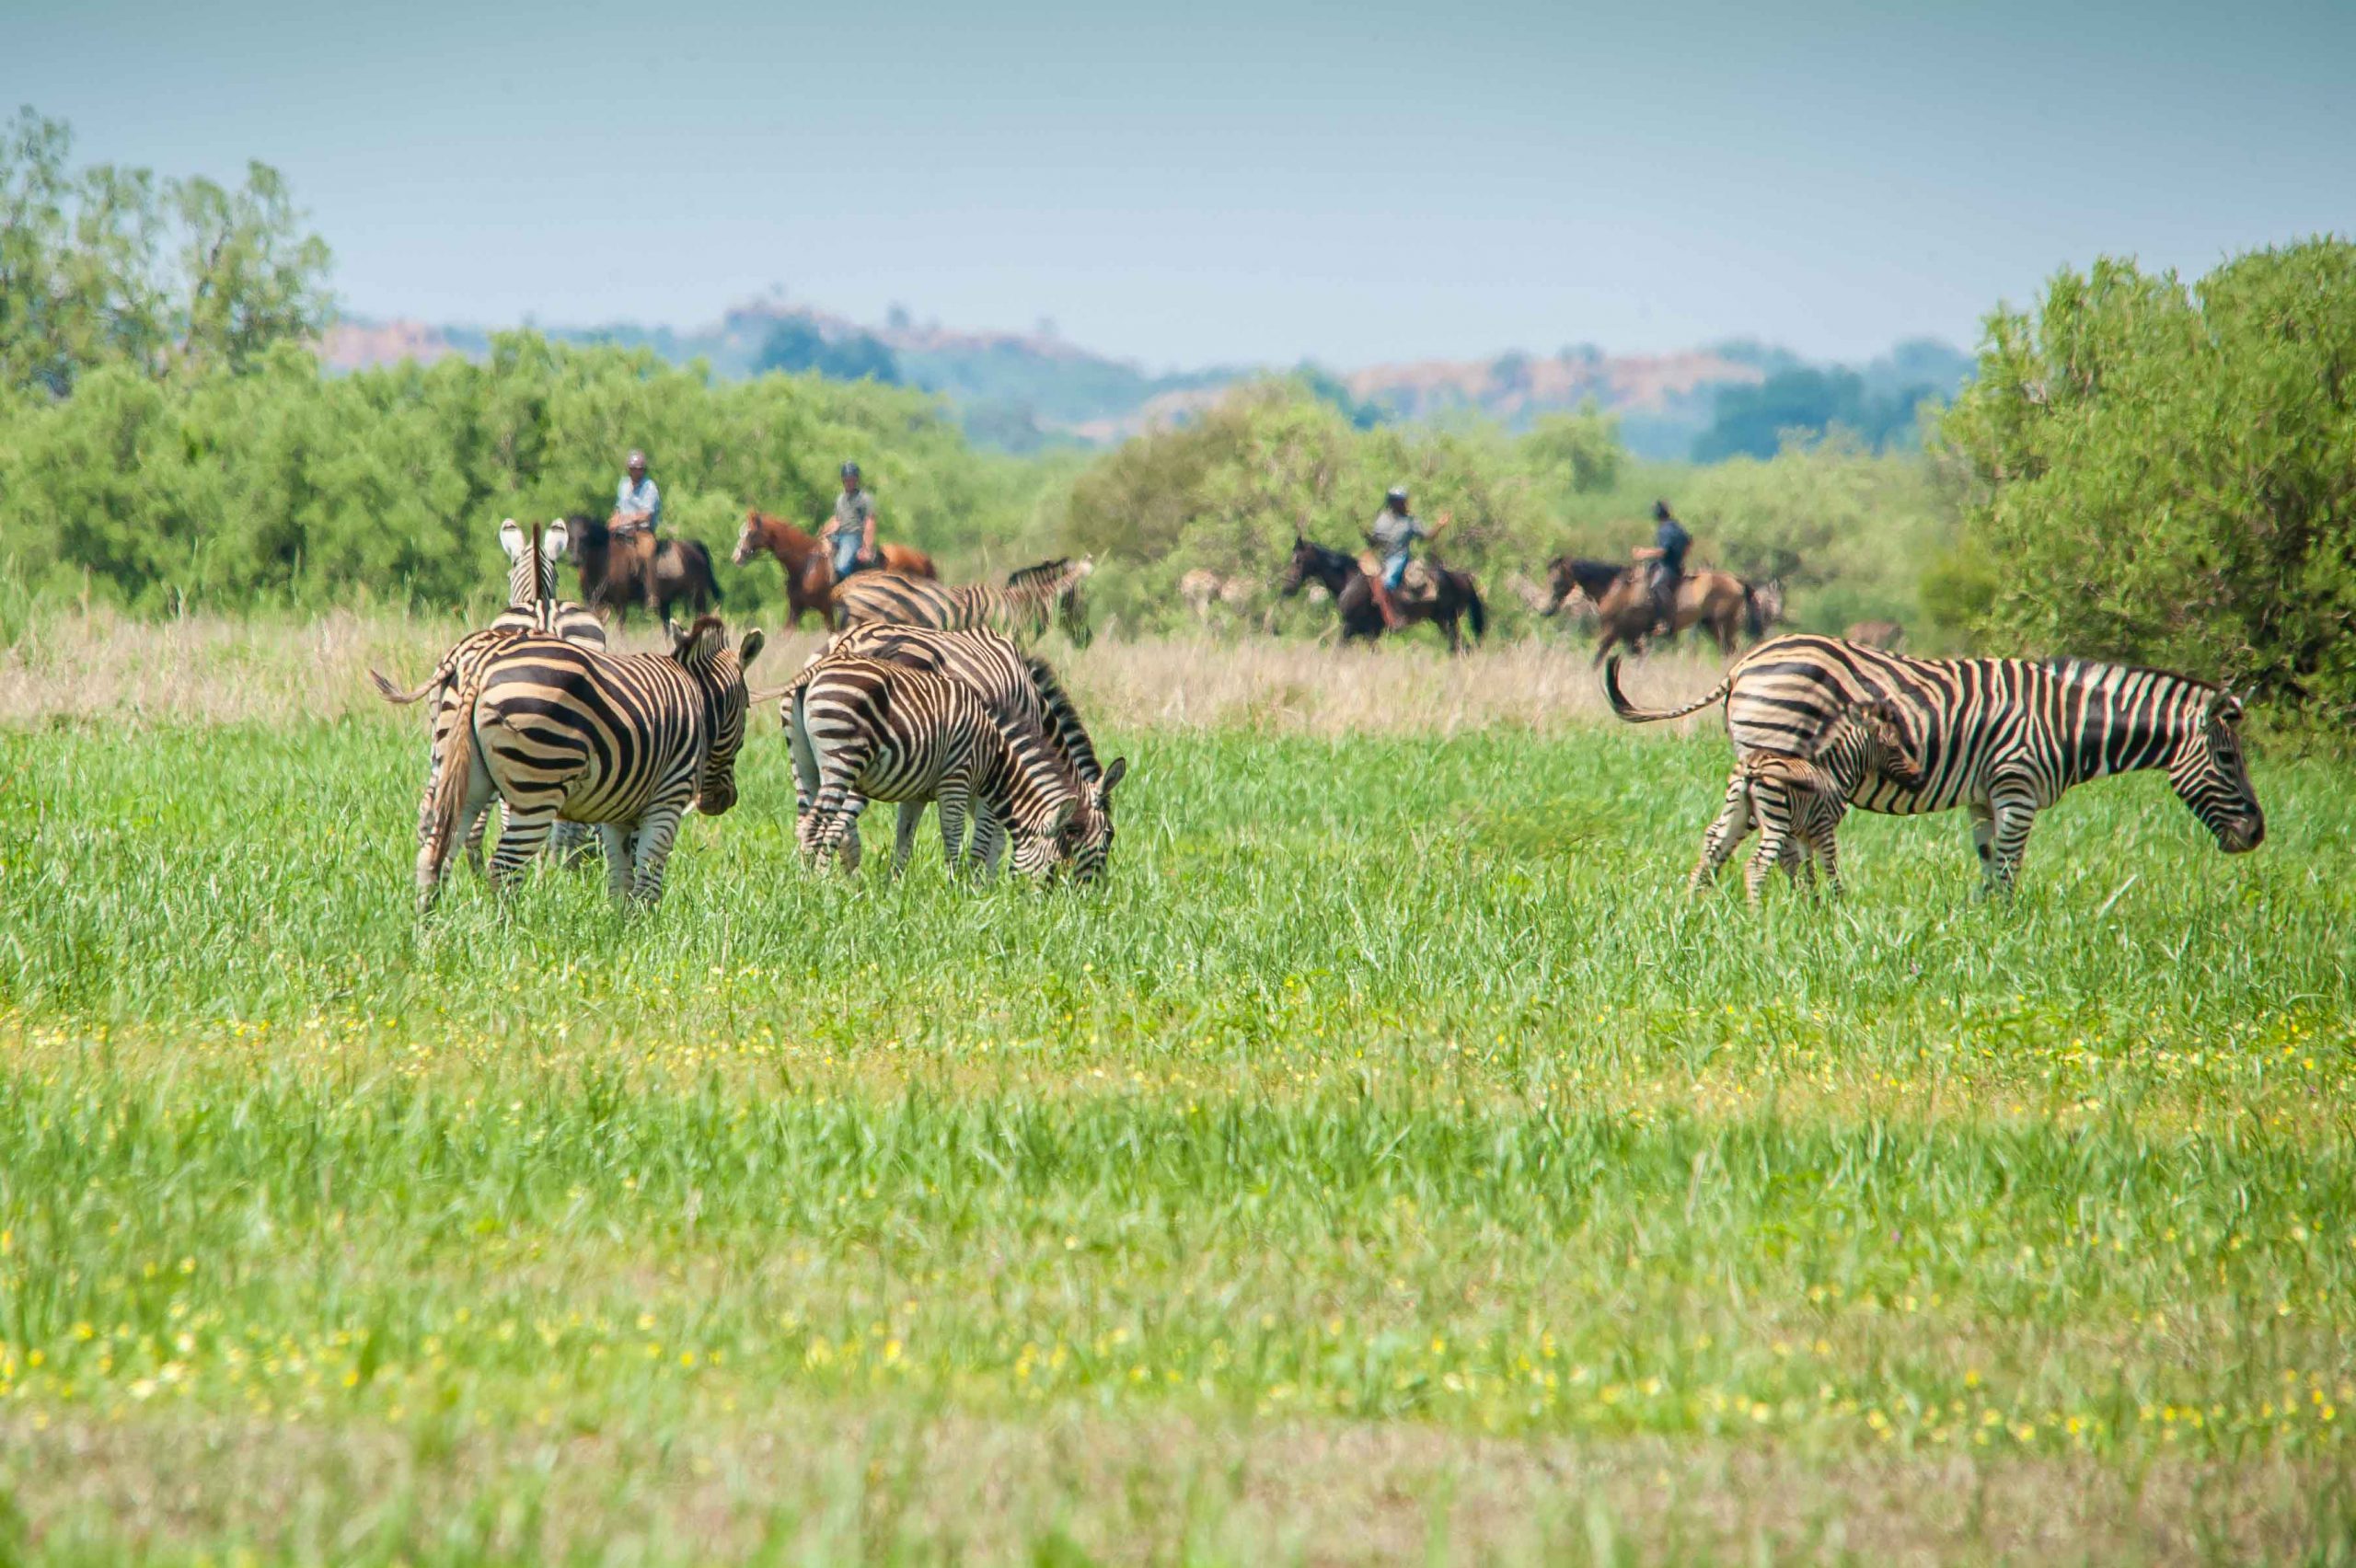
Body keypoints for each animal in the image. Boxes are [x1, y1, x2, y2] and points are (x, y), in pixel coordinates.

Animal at [565, 514, 724, 625]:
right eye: (570, 537)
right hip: (666, 603)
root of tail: (694, 548)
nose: (575, 560)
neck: (604, 563)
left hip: (697, 596)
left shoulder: (620, 603)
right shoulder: (592, 603)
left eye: (585, 537)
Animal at [731, 509, 938, 629]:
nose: (736, 557)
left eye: (750, 532)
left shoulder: (826, 610)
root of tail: (921, 557)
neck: (806, 564)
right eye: (740, 532)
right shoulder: (796, 610)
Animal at [1279, 535, 1487, 653]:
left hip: (1448, 622)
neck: (1350, 581)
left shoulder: (1349, 627)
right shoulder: (1370, 632)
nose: (1287, 587)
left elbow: (1337, 652)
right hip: (1445, 623)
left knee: (1459, 648)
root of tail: (1462, 577)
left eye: (1297, 560)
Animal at [1589, 569, 1781, 666]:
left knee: (1730, 649)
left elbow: (1598, 656)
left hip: (1723, 624)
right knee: (1728, 650)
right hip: (1712, 626)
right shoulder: (1627, 635)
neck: (1621, 593)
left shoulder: (1616, 632)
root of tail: (1737, 582)